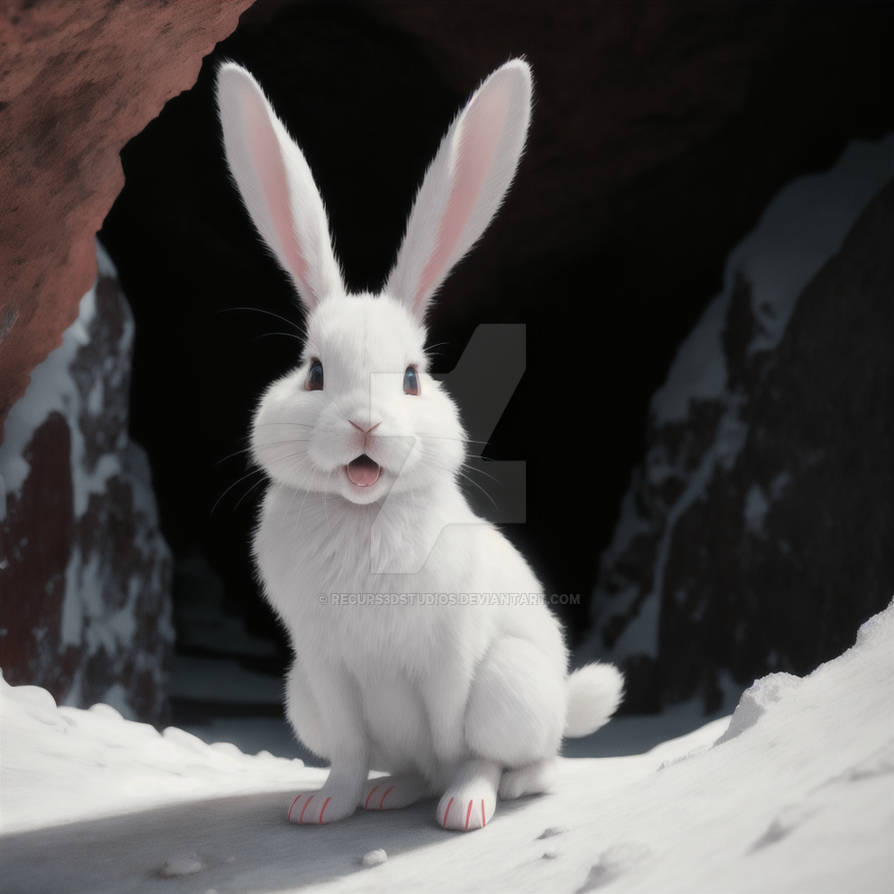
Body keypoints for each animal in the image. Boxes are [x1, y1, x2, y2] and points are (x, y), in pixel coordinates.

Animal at [216, 58, 623, 832]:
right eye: (315, 371)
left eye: (411, 376)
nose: (365, 426)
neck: (363, 514)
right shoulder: (324, 666)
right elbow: (349, 753)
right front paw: (322, 809)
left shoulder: (450, 659)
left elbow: (458, 742)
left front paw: (463, 807)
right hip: (300, 696)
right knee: (402, 763)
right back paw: (391, 792)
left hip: (512, 684)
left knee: (530, 756)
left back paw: (493, 791)